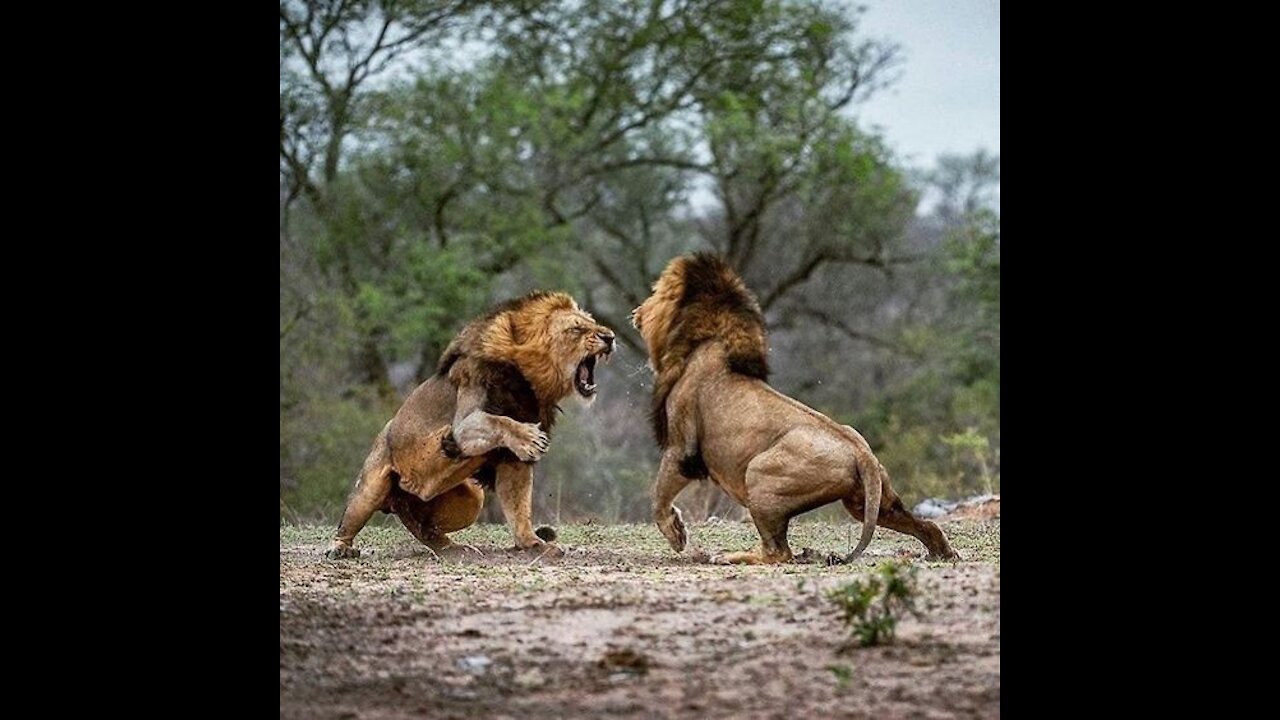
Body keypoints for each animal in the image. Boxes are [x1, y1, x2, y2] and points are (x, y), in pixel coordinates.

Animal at [325, 288, 614, 558]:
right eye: (576, 329)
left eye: (593, 322)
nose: (610, 337)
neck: (531, 385)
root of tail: (400, 499)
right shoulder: (463, 424)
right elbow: (497, 421)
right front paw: (530, 437)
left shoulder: (512, 460)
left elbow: (519, 507)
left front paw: (533, 544)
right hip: (370, 487)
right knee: (351, 519)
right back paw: (340, 549)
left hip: (472, 499)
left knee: (427, 529)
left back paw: (454, 548)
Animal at [634, 254, 957, 563]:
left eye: (655, 293)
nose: (636, 312)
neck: (705, 340)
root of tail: (862, 453)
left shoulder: (681, 449)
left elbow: (658, 497)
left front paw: (676, 535)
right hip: (869, 502)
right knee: (927, 525)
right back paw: (942, 553)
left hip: (759, 475)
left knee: (778, 552)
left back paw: (728, 557)